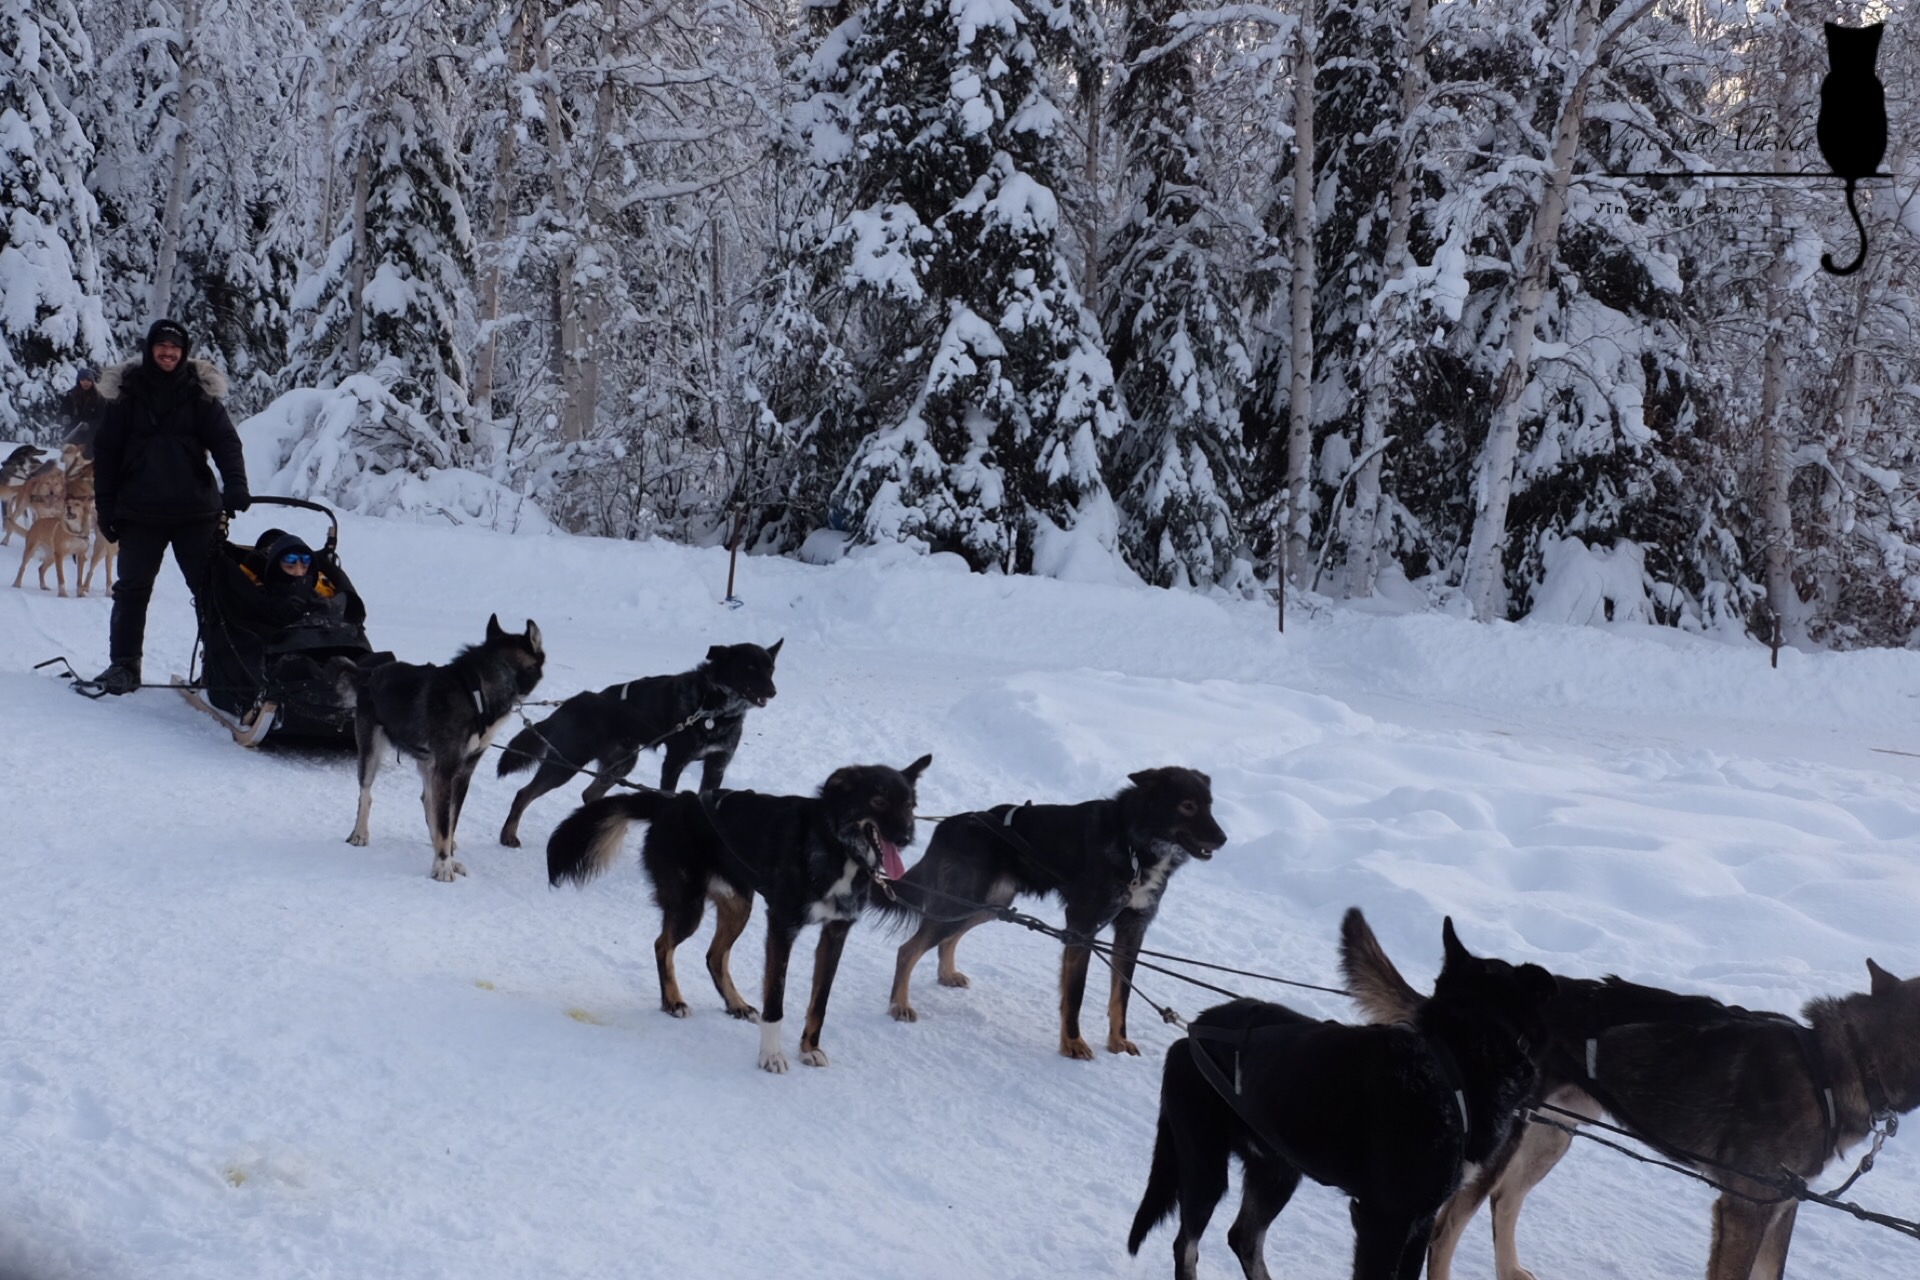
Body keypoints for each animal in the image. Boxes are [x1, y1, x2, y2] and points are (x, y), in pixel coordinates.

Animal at [341, 617, 541, 882]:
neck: (475, 694)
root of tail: (368, 673)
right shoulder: (446, 770)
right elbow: (445, 825)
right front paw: (443, 866)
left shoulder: (462, 774)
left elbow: (449, 823)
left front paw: (447, 859)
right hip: (371, 752)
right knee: (366, 793)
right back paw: (360, 833)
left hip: (427, 764)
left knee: (428, 802)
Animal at [545, 756, 933, 1074]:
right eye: (878, 801)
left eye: (910, 805)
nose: (907, 836)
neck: (835, 848)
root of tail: (677, 802)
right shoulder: (781, 927)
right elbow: (775, 999)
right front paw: (771, 1056)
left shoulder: (836, 933)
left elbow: (819, 1002)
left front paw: (809, 1048)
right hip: (688, 906)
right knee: (662, 945)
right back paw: (672, 1001)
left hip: (738, 907)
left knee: (714, 955)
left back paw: (736, 1005)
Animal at [879, 771, 1221, 1059]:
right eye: (1188, 805)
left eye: (1210, 805)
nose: (1223, 838)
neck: (1133, 846)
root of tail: (948, 825)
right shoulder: (1082, 928)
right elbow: (1075, 995)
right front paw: (1073, 1043)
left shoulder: (1131, 930)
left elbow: (1120, 995)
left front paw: (1117, 1041)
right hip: (966, 901)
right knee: (908, 949)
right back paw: (899, 1004)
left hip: (990, 905)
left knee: (947, 939)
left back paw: (946, 974)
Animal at [1128, 909, 1551, 1280]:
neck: (1449, 1063)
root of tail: (1190, 1034)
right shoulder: (1384, 1221)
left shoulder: (1421, 1221)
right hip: (1207, 1169)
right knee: (1187, 1246)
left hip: (1277, 1172)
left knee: (1244, 1238)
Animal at [1344, 909, 1920, 1280]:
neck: (1835, 1064)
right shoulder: (1744, 1208)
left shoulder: (1782, 1206)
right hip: (1500, 1144)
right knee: (1446, 1229)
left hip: (1555, 1135)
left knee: (1504, 1202)